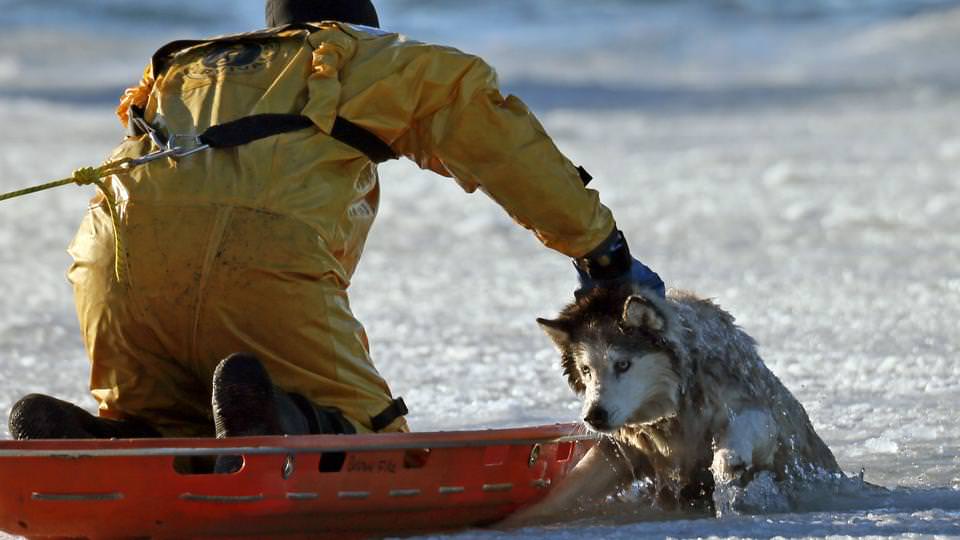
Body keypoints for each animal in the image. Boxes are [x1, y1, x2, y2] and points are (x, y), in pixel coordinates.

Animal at [510, 286, 840, 524]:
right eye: (586, 370)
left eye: (623, 364)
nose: (594, 416)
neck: (673, 415)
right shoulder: (623, 449)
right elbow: (565, 492)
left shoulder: (760, 412)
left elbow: (743, 430)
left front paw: (726, 463)